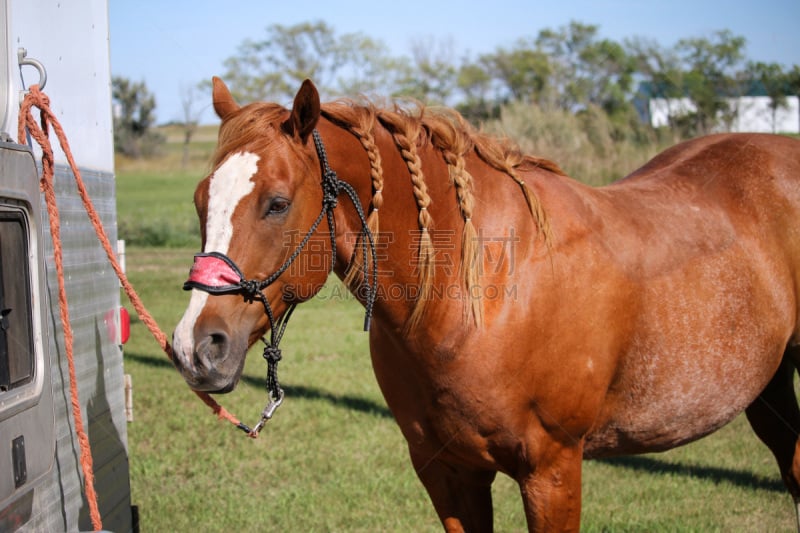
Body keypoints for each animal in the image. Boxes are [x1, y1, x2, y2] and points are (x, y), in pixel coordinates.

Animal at [172, 77, 800, 528]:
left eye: (276, 204)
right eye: (200, 199)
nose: (194, 347)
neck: (483, 299)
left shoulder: (552, 471)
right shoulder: (449, 473)